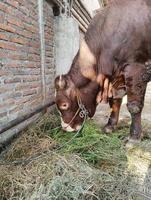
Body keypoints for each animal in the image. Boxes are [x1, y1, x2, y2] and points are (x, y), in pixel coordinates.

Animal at [54, 0, 151, 144]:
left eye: (64, 105)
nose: (66, 128)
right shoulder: (117, 77)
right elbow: (115, 102)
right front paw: (109, 127)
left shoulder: (136, 68)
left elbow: (134, 106)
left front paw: (134, 137)